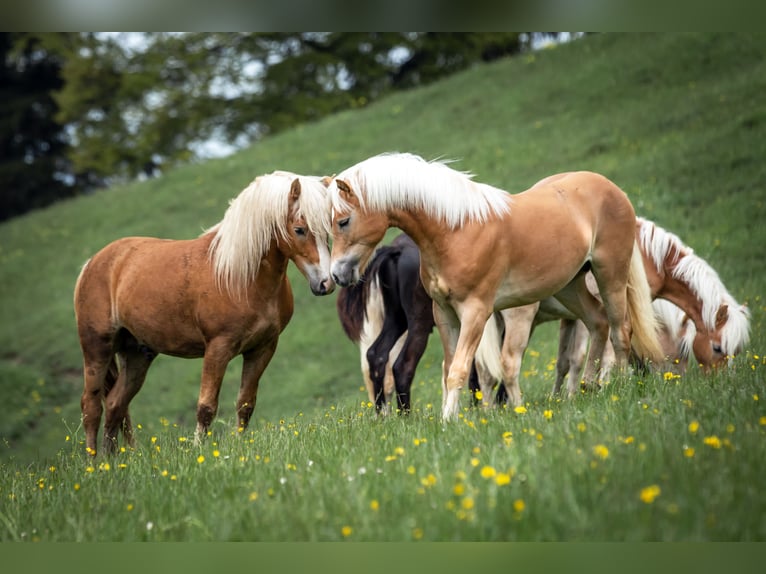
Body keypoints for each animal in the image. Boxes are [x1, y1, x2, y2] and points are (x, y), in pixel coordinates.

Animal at [76, 171, 336, 454]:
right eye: (299, 229)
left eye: (330, 228)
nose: (326, 283)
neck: (239, 275)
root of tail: (92, 263)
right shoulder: (217, 349)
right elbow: (206, 407)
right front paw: (199, 451)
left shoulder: (262, 348)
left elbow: (245, 404)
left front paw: (240, 448)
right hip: (97, 350)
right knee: (91, 408)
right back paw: (93, 461)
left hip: (137, 354)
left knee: (115, 405)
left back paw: (112, 459)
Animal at [328, 152, 664, 424]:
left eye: (343, 221)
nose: (337, 275)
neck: (456, 230)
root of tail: (611, 188)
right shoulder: (444, 314)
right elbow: (450, 370)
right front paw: (451, 418)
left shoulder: (476, 312)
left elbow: (460, 370)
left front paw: (449, 423)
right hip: (571, 286)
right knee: (598, 322)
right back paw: (589, 388)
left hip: (611, 276)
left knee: (620, 331)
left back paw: (620, 388)